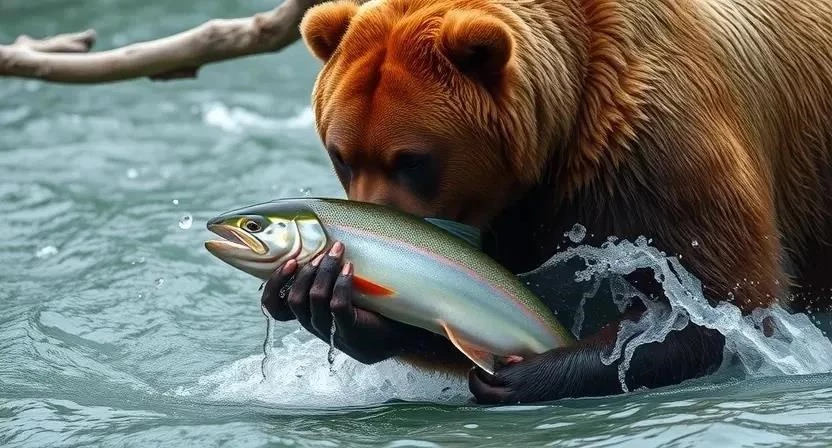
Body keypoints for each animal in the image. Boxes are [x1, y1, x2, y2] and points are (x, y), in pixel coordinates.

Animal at [259, 0, 832, 404]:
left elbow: (719, 302)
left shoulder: (651, 143)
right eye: (341, 155)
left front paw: (532, 375)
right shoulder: (507, 217)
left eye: (412, 160)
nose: (373, 223)